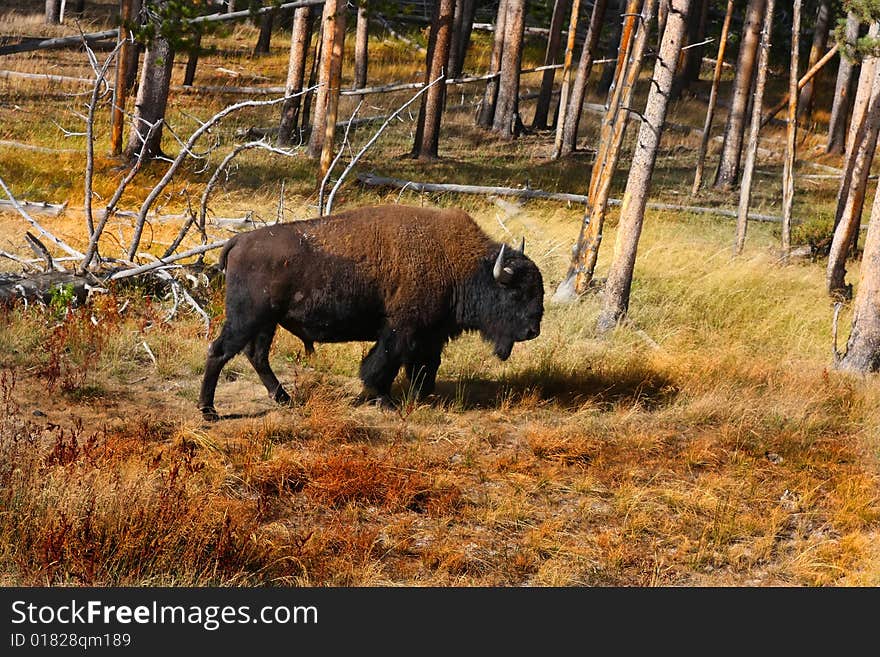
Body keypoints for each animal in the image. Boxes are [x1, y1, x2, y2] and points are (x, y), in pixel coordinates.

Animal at [199, 204, 544, 420]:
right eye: (517, 293)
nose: (533, 331)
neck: (460, 265)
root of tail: (239, 240)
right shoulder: (401, 331)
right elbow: (382, 365)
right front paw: (385, 401)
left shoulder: (431, 334)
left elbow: (426, 365)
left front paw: (422, 396)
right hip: (247, 318)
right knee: (219, 351)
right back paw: (209, 411)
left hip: (266, 322)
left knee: (256, 355)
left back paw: (283, 398)